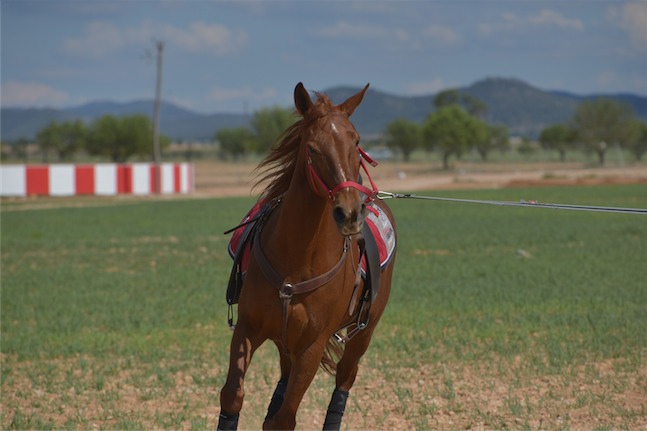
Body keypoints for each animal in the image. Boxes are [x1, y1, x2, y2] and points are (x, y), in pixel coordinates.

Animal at [220, 82, 398, 430]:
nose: (350, 212)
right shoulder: (248, 329)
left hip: (363, 334)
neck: (297, 261)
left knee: (344, 379)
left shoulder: (311, 347)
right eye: (313, 148)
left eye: (356, 142)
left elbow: (285, 417)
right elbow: (233, 395)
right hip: (284, 342)